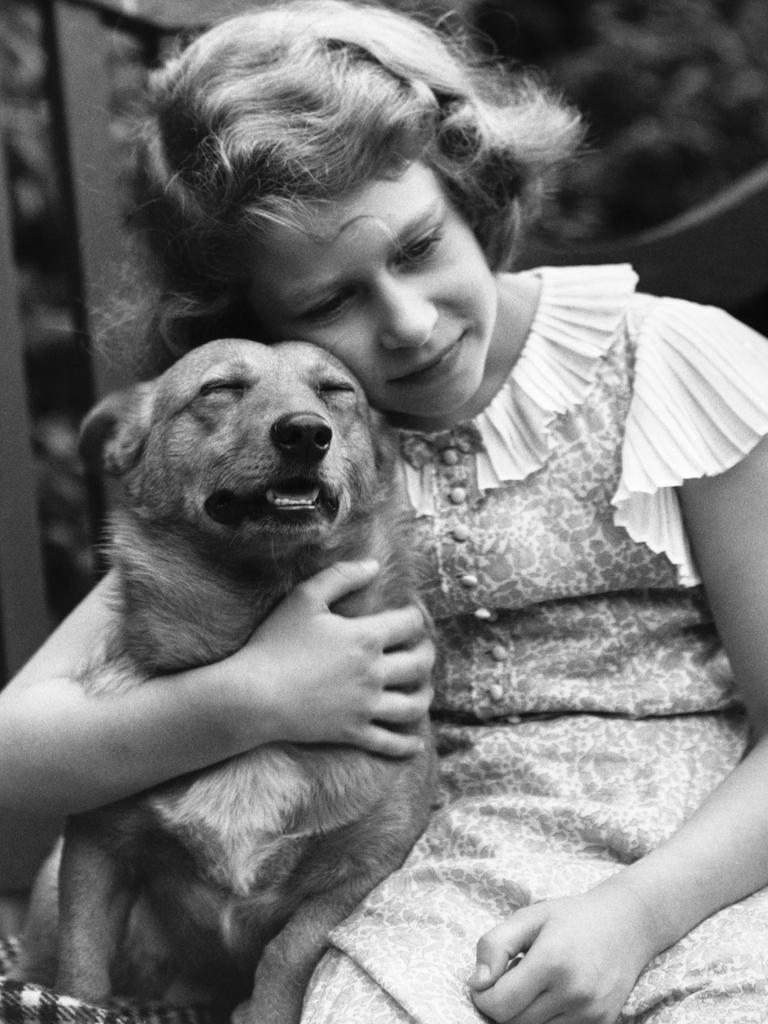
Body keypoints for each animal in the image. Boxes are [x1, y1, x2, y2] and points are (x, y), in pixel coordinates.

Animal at [15, 337, 436, 1024]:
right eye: (219, 389)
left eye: (335, 391)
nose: (305, 432)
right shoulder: (95, 851)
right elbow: (80, 976)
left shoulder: (364, 868)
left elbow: (289, 953)